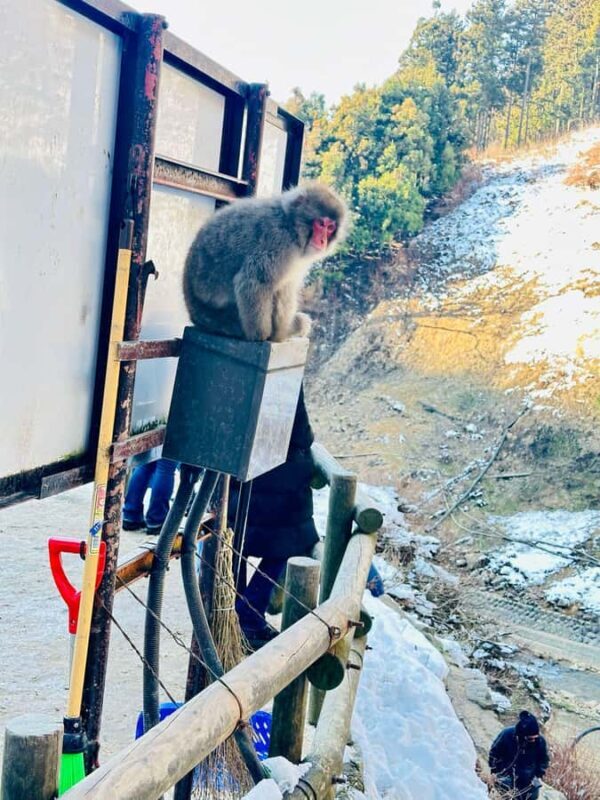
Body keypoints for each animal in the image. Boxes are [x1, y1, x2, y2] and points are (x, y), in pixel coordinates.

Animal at [182, 182, 347, 342]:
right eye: (321, 224)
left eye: (330, 227)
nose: (323, 241)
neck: (291, 224)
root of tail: (194, 315)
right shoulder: (278, 241)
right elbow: (254, 283)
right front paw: (265, 335)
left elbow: (284, 285)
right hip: (223, 320)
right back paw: (288, 330)